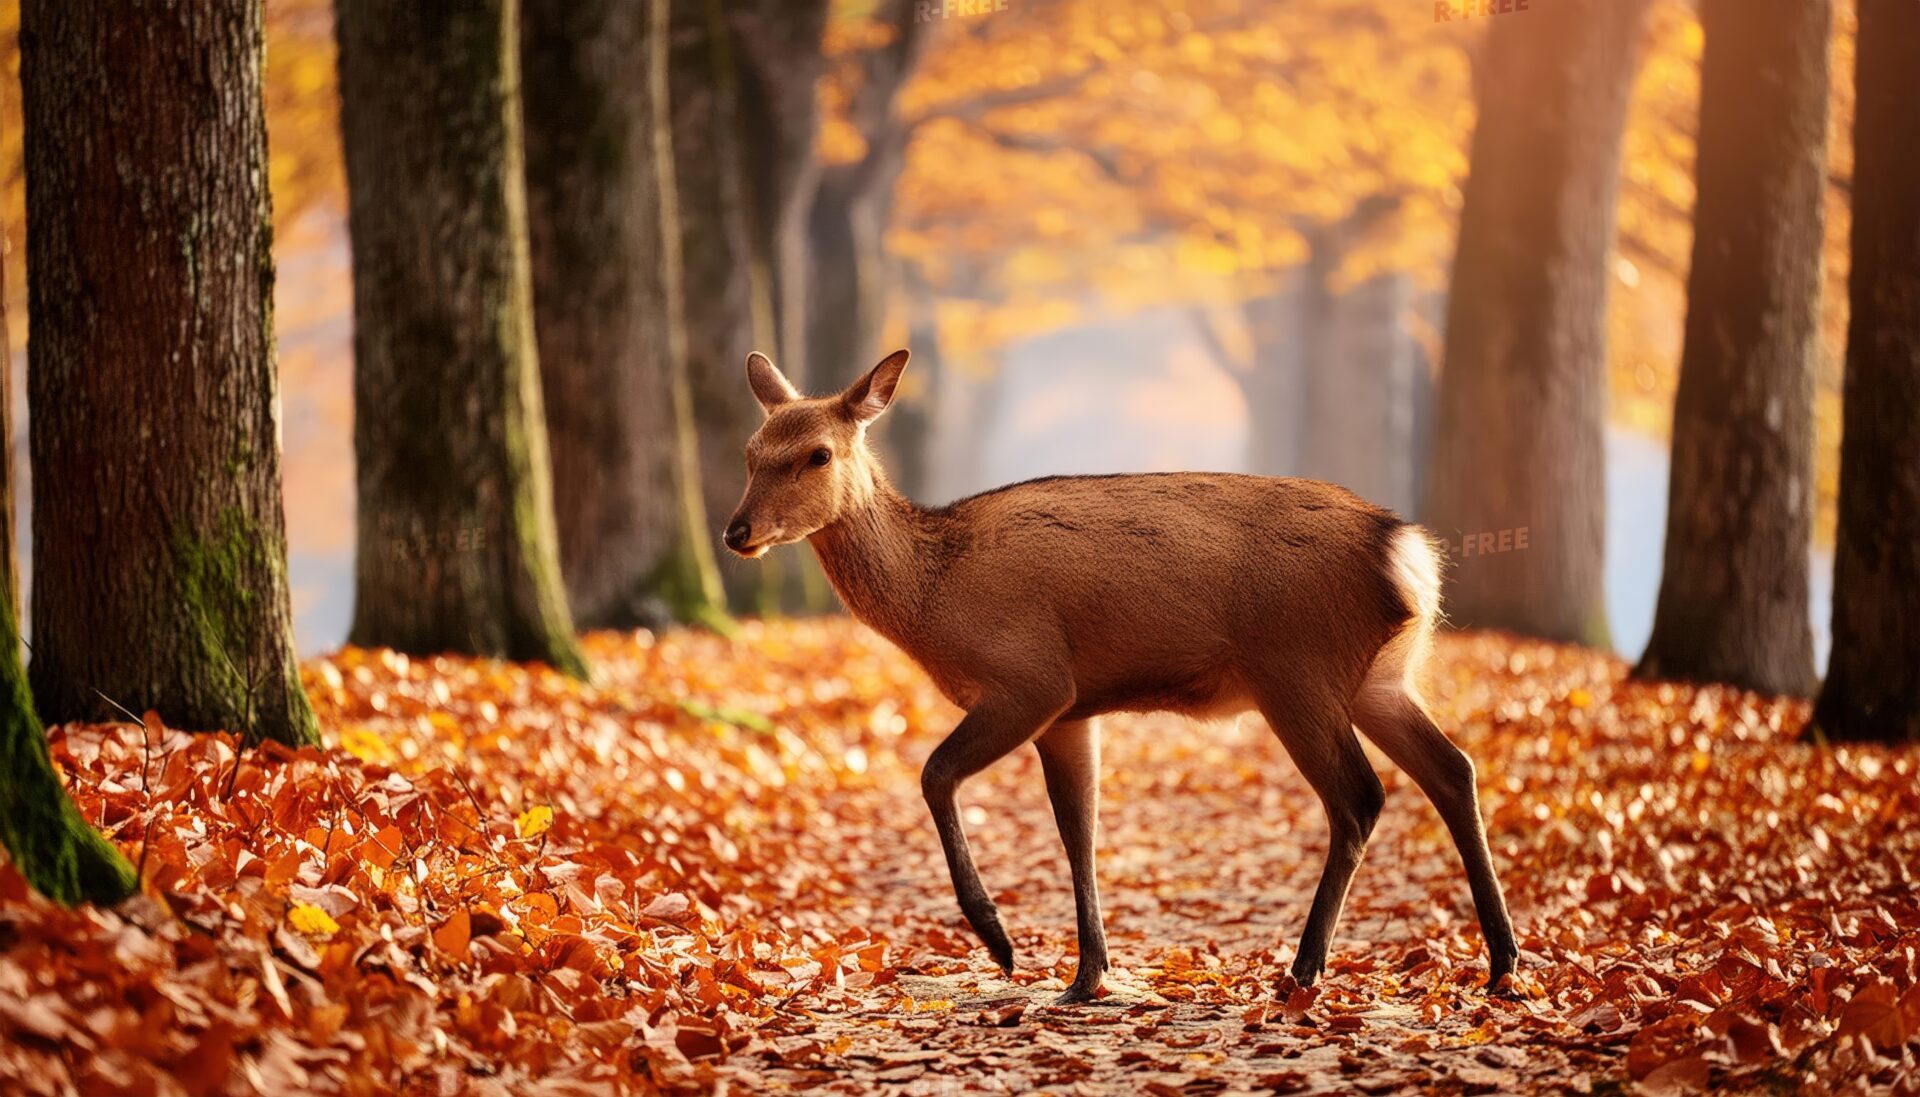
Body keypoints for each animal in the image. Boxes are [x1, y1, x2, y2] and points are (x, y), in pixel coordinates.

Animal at [723, 349, 1518, 1005]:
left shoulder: (1032, 679)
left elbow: (934, 773)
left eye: (817, 454)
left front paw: (1001, 943)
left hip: (1297, 669)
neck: (937, 598)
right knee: (1454, 769)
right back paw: (1503, 963)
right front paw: (1087, 975)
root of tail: (1406, 554)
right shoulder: (1073, 711)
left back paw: (1304, 969)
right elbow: (1081, 829)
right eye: (751, 451)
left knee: (1360, 796)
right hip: (1380, 679)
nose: (736, 531)